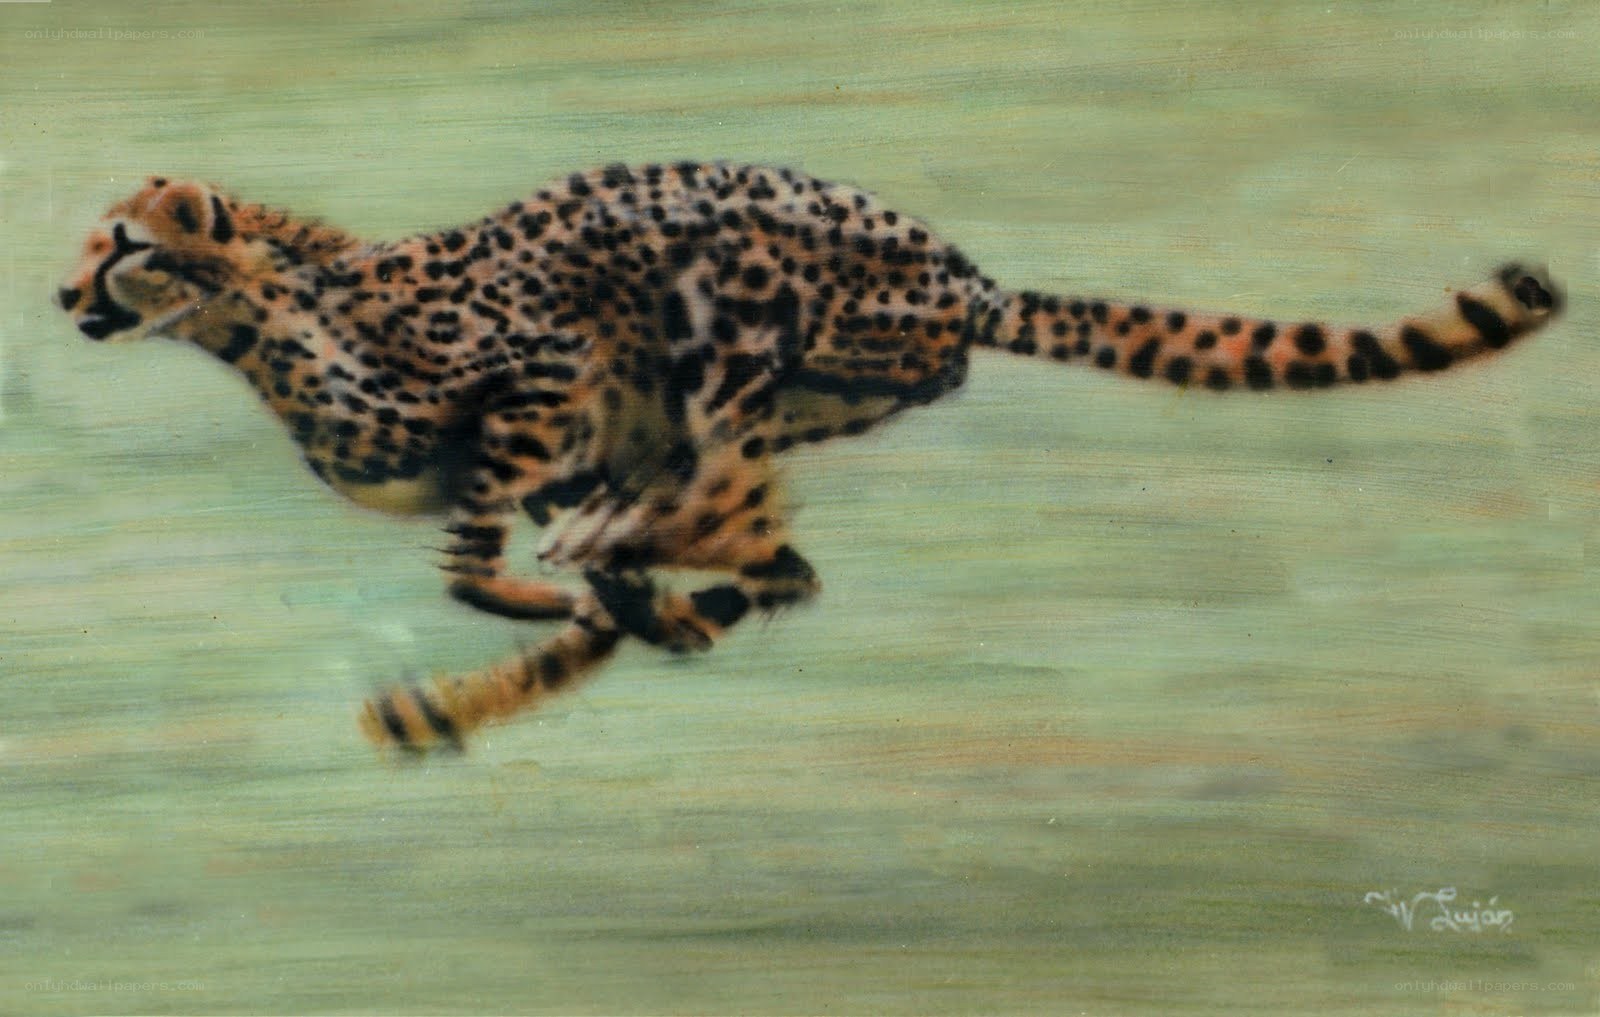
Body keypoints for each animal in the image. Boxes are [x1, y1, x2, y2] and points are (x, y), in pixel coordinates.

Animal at [56, 162, 1563, 752]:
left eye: (124, 245)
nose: (66, 297)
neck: (261, 315)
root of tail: (969, 277)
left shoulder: (543, 375)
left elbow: (479, 551)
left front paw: (540, 604)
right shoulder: (580, 443)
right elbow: (579, 589)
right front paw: (521, 662)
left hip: (734, 327)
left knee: (747, 522)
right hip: (771, 402)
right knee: (777, 560)